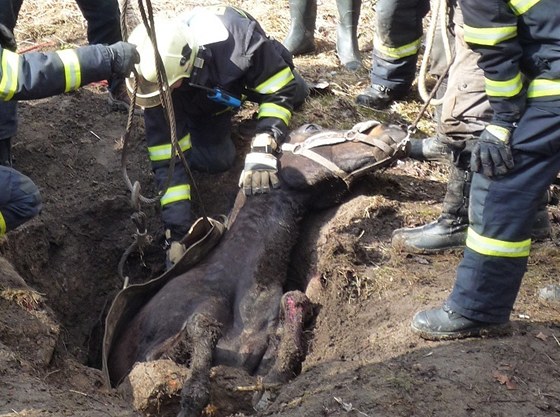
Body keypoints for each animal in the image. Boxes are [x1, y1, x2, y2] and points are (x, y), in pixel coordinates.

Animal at [101, 120, 406, 416]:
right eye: (311, 128)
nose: (395, 128)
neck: (247, 288)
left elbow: (293, 305)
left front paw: (274, 379)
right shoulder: (150, 357)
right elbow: (199, 340)